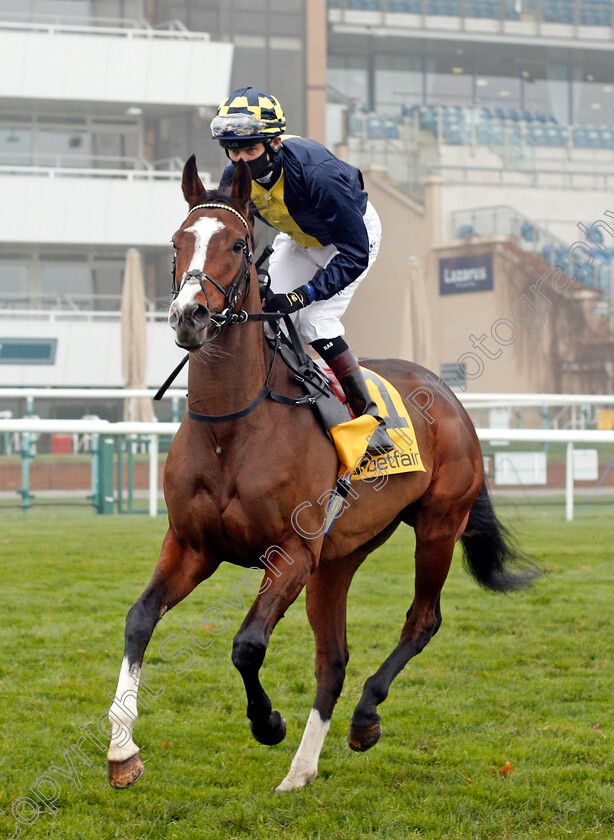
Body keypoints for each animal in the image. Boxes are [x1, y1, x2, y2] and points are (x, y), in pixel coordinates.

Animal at [107, 158, 540, 796]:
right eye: (177, 242)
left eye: (238, 244)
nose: (190, 316)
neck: (231, 428)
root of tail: (447, 393)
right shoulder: (192, 544)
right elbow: (140, 619)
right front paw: (122, 751)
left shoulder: (291, 551)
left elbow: (247, 644)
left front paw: (267, 723)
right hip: (340, 557)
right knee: (332, 659)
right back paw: (302, 770)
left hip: (438, 524)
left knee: (422, 621)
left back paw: (364, 719)